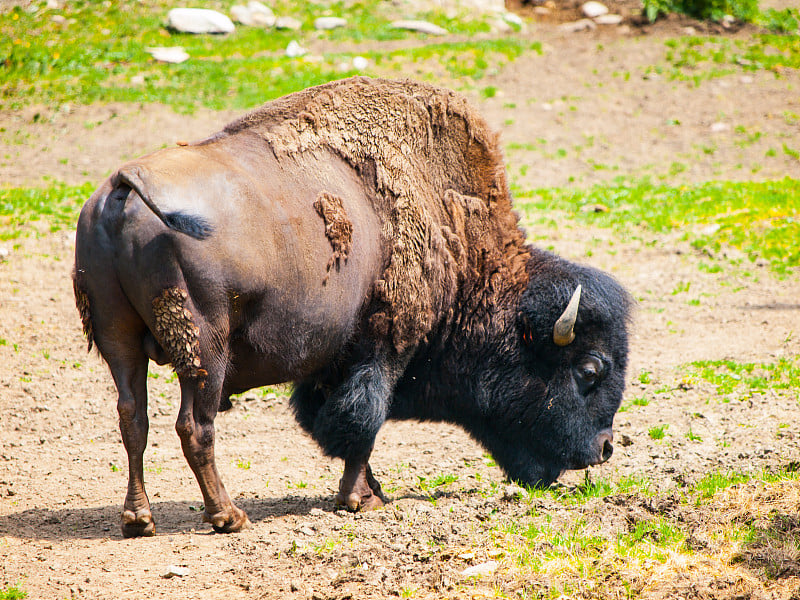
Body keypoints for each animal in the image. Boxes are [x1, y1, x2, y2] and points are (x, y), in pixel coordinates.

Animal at [73, 77, 632, 536]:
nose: (604, 449)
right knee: (195, 426)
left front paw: (370, 493)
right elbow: (362, 422)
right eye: (589, 370)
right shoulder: (385, 348)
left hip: (119, 342)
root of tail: (123, 185)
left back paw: (138, 519)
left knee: (133, 418)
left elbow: (336, 421)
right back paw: (228, 516)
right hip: (205, 352)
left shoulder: (333, 362)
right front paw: (362, 499)